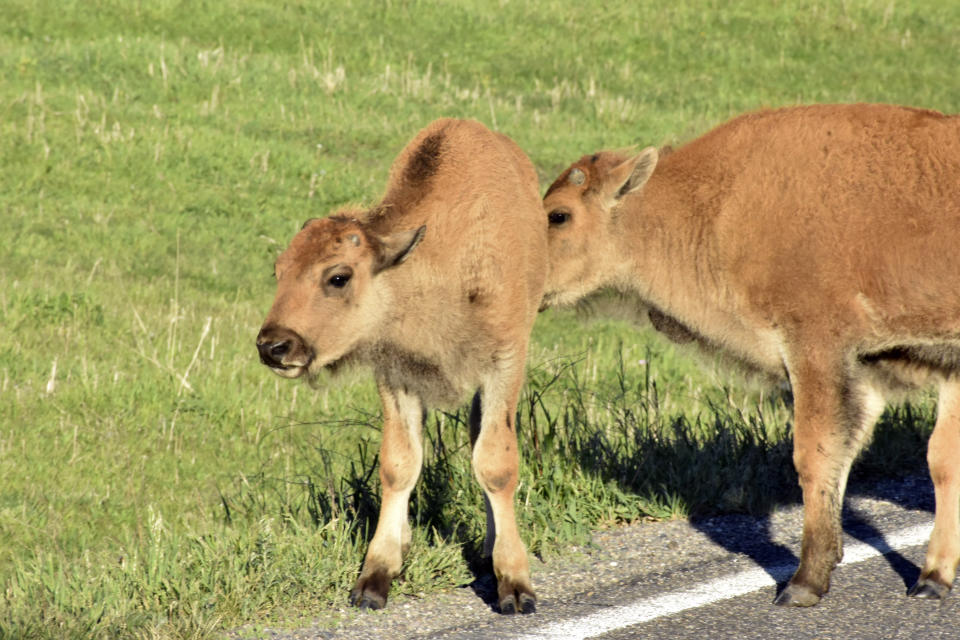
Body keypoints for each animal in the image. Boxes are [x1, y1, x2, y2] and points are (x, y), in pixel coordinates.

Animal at [255, 119, 544, 616]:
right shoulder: (395, 376)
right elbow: (399, 463)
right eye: (280, 272)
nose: (274, 345)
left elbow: (495, 463)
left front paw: (515, 586)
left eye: (338, 276)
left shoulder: (504, 363)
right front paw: (375, 578)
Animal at [544, 104, 960, 604]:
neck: (717, 207)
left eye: (558, 215)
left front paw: (802, 585)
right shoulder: (900, 368)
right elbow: (937, 459)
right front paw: (931, 580)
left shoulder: (815, 349)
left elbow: (814, 454)